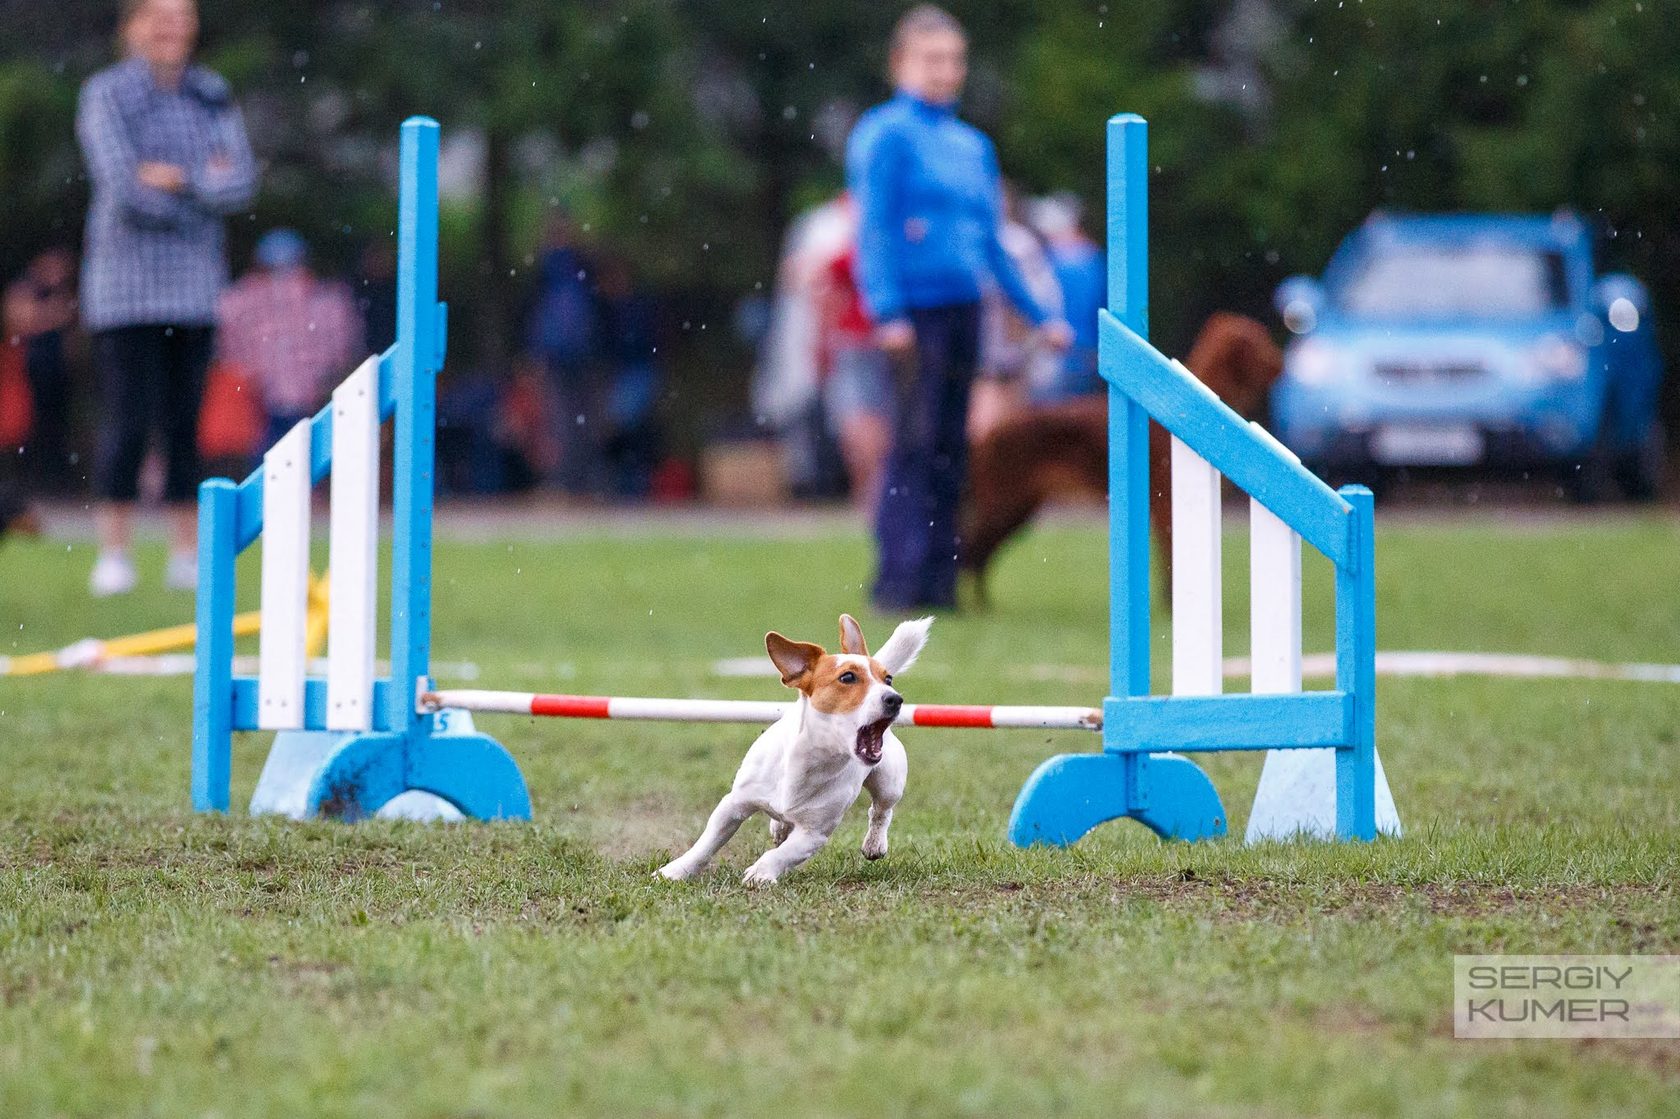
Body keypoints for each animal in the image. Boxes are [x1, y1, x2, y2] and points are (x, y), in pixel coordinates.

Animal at [967, 310, 1276, 601]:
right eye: (1259, 342)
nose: (1279, 363)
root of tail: (988, 432)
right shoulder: (1166, 503)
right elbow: (1171, 561)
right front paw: (1170, 605)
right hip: (1002, 505)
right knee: (972, 552)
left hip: (1019, 510)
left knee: (979, 555)